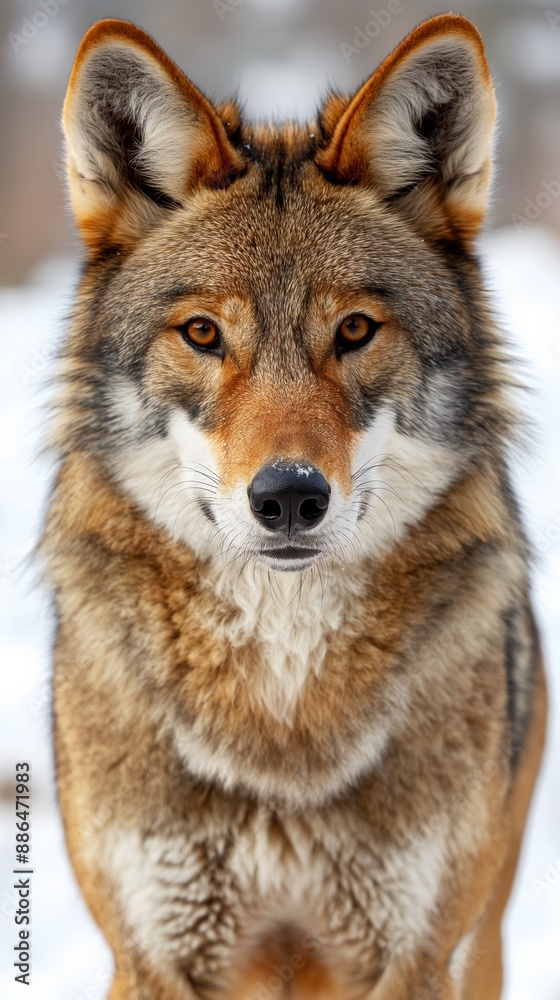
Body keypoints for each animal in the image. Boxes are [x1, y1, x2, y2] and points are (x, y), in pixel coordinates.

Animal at [42, 14, 546, 999]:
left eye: (354, 330)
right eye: (204, 333)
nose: (288, 497)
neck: (282, 720)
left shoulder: (418, 956)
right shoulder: (151, 956)